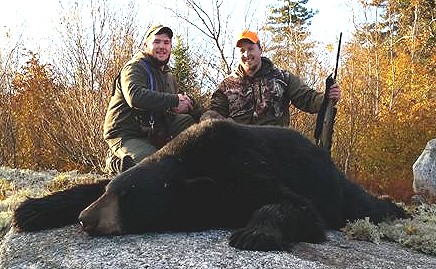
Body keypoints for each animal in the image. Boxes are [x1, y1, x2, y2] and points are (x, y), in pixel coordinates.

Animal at [11, 119, 408, 249]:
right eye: (114, 192)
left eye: (129, 198)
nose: (85, 219)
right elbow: (90, 184)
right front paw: (30, 209)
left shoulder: (245, 167)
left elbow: (296, 206)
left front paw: (253, 233)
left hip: (334, 188)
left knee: (360, 204)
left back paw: (397, 211)